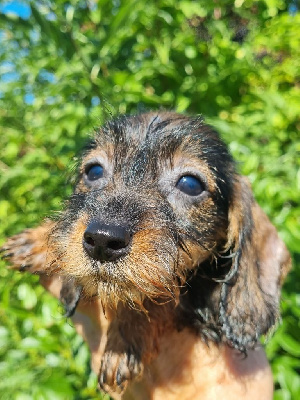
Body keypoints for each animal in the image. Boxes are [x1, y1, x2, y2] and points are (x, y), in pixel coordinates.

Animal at [0, 112, 290, 400]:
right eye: (94, 171)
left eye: (190, 184)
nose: (102, 239)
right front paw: (37, 241)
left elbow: (157, 297)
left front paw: (123, 340)